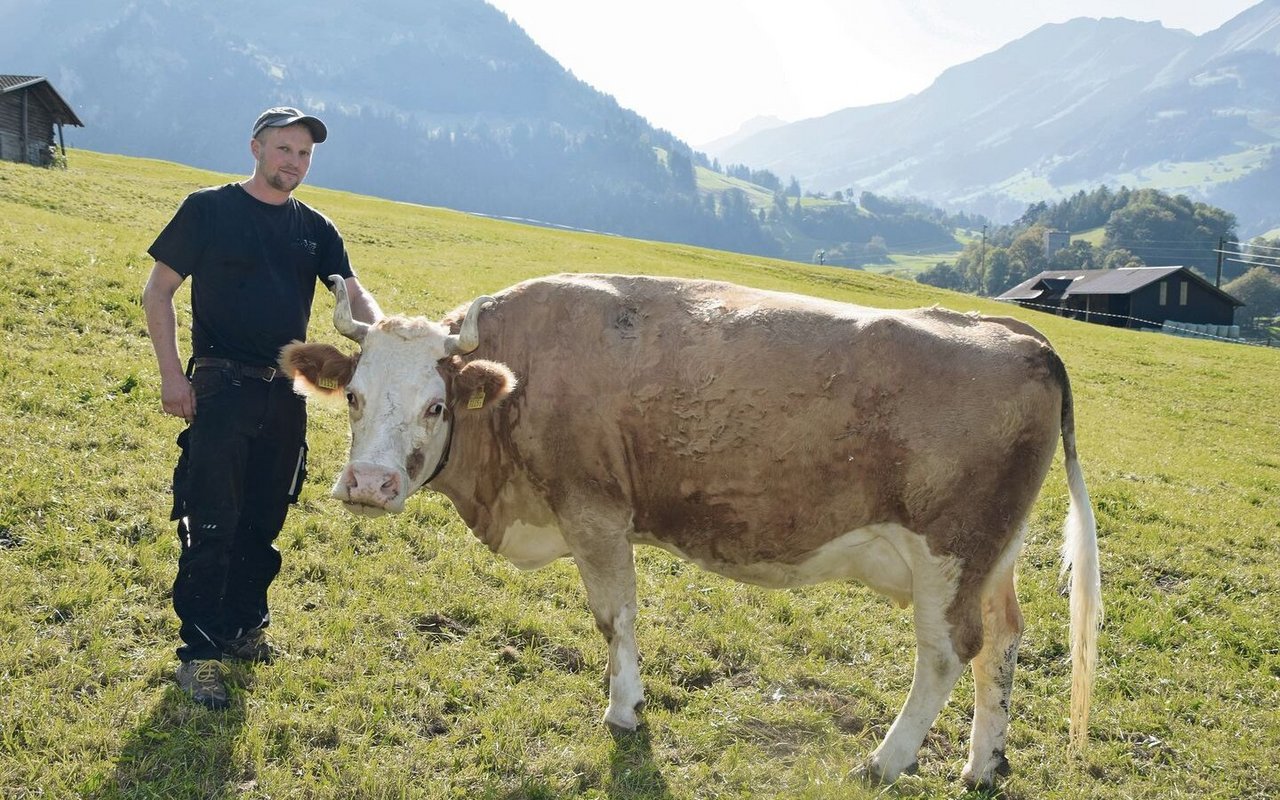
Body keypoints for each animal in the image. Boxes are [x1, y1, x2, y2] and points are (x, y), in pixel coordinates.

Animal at [280, 272, 1100, 788]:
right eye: (353, 396)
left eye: (436, 406)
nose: (369, 485)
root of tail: (1019, 334)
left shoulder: (595, 512)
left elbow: (614, 616)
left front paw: (624, 709)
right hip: (992, 556)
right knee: (1003, 641)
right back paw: (983, 765)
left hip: (949, 551)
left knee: (947, 652)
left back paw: (885, 761)